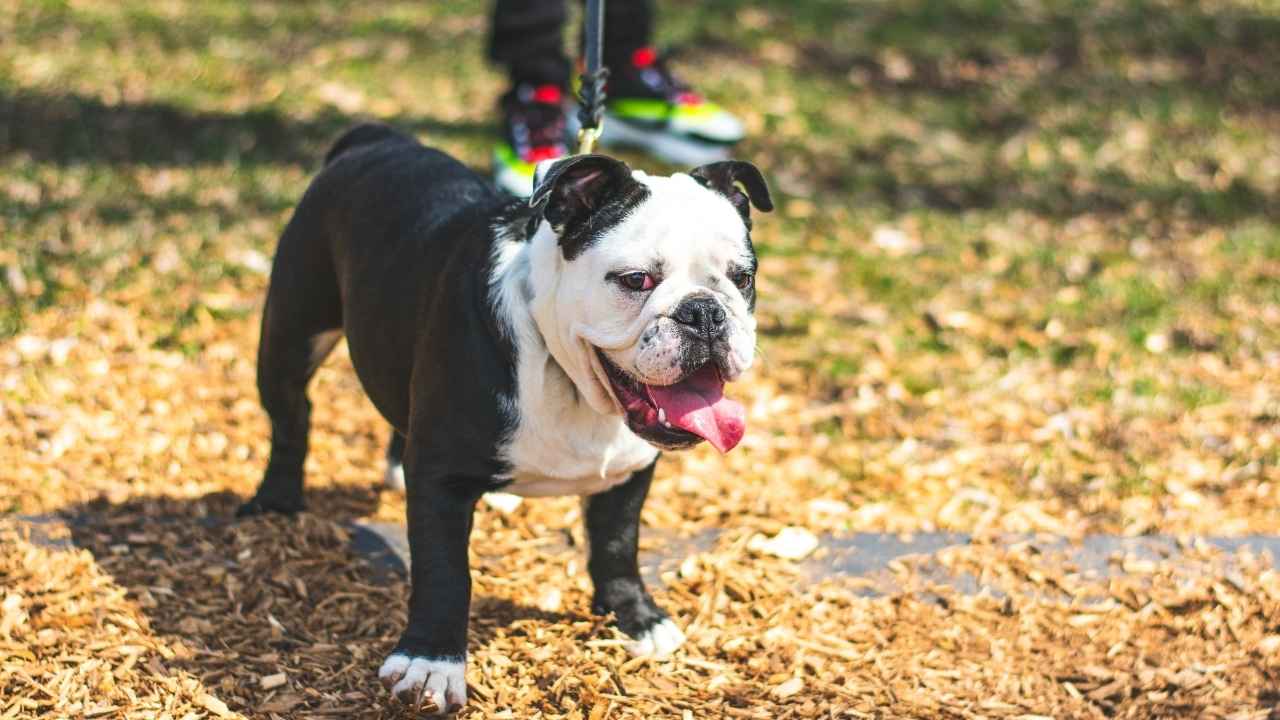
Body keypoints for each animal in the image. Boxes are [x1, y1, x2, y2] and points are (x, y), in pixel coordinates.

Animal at [239, 122, 768, 712]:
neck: (567, 374)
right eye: (636, 280)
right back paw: (276, 499)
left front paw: (635, 617)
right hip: (292, 331)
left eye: (743, 278)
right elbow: (446, 573)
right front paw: (431, 663)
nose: (704, 312)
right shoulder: (442, 481)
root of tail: (375, 139)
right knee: (291, 416)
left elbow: (616, 546)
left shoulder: (628, 474)